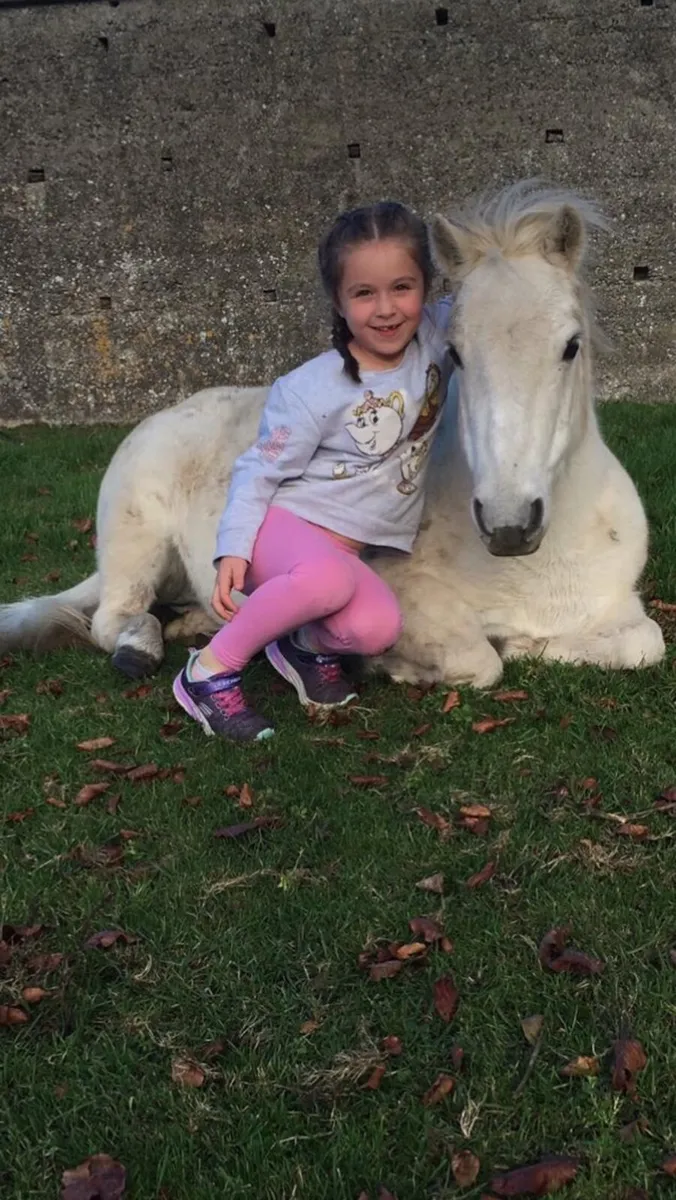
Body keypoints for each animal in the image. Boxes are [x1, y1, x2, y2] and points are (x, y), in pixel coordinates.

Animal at [0, 181, 665, 687]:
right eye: (455, 353)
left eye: (570, 346)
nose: (509, 524)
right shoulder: (408, 599)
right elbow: (478, 659)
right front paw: (401, 665)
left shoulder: (617, 610)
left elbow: (646, 642)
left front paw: (528, 644)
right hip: (136, 543)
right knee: (116, 617)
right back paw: (144, 647)